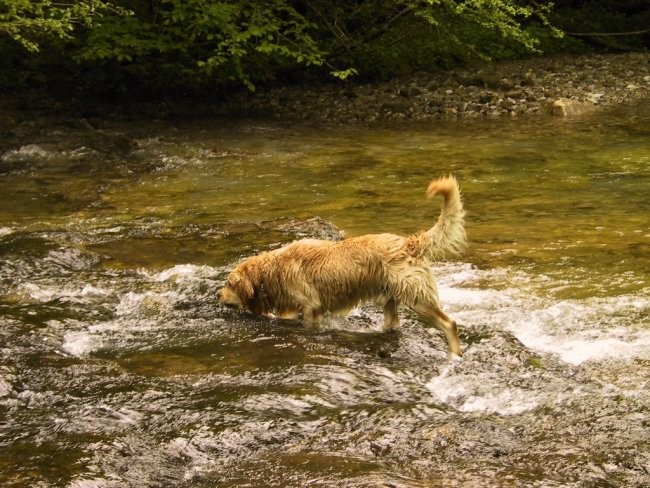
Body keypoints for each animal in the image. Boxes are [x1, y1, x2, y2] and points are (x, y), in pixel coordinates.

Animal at [218, 175, 466, 354]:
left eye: (229, 284)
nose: (217, 295)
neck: (271, 271)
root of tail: (409, 242)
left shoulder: (310, 307)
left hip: (416, 298)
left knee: (449, 323)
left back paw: (454, 355)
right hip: (389, 299)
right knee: (393, 321)